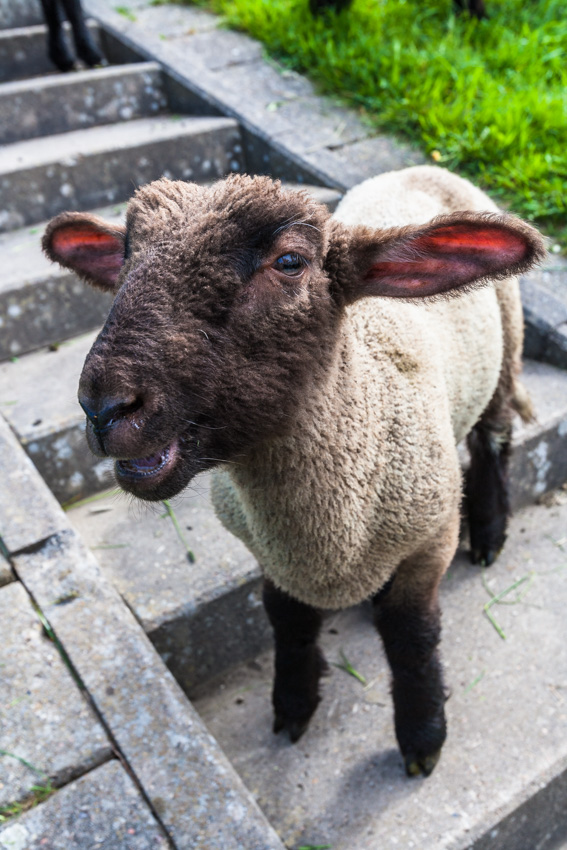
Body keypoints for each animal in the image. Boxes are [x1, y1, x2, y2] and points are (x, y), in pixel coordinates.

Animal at [42, 166, 544, 776]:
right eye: (125, 253)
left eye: (289, 261)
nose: (105, 407)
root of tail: (423, 168)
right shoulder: (268, 553)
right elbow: (286, 620)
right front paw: (294, 703)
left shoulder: (430, 538)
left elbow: (412, 638)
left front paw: (423, 737)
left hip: (506, 342)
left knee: (494, 438)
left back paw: (491, 534)